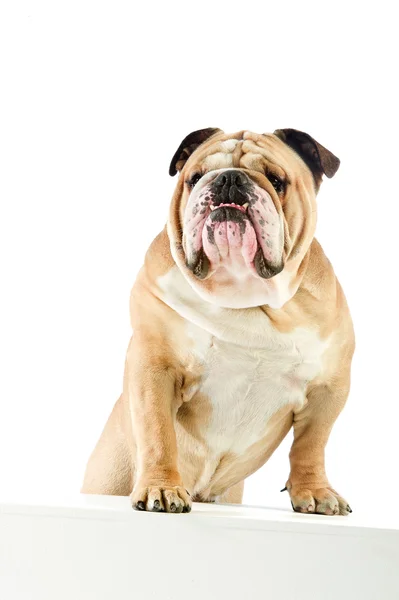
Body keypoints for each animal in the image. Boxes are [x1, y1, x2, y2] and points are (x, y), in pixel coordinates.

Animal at [79, 127, 354, 516]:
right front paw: (161, 488)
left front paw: (315, 493)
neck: (242, 292)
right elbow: (158, 432)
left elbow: (311, 445)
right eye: (195, 178)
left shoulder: (329, 388)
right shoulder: (154, 367)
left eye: (276, 181)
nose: (229, 179)